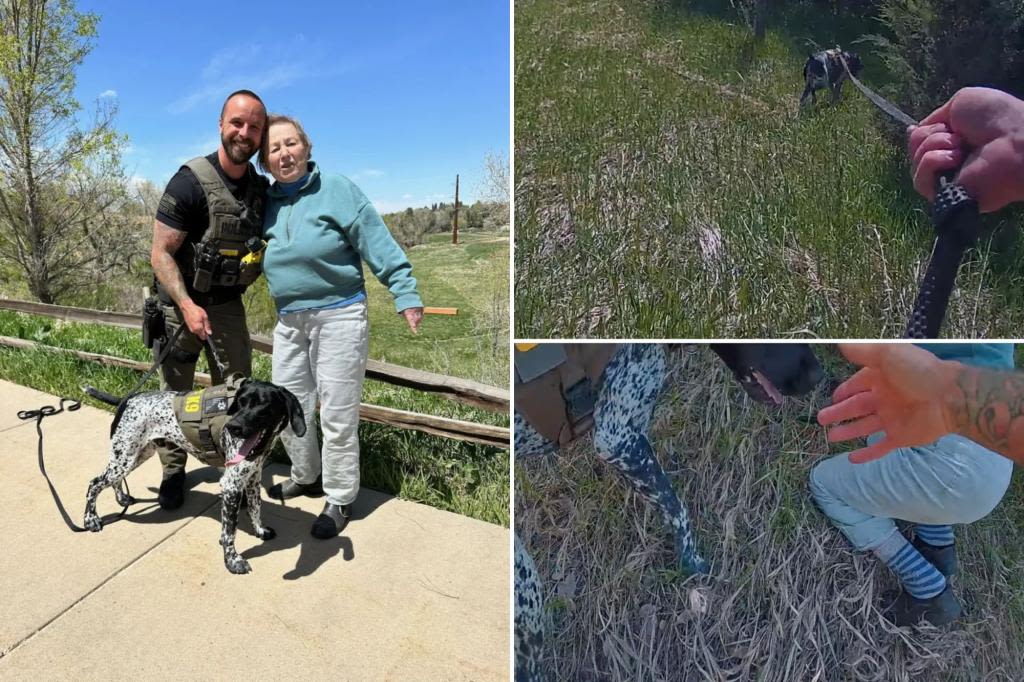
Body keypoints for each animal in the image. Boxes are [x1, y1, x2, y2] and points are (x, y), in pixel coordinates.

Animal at [83, 378, 303, 569]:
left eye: (263, 406)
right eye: (240, 403)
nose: (232, 427)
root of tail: (127, 399)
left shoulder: (253, 478)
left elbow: (255, 507)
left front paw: (259, 530)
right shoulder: (231, 485)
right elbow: (230, 530)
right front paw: (232, 561)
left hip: (134, 456)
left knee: (113, 480)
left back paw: (122, 498)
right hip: (125, 457)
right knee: (94, 483)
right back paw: (90, 519)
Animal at [512, 342, 823, 679]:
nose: (818, 376)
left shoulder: (632, 440)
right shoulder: (617, 439)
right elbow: (676, 506)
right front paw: (692, 562)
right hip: (527, 594)